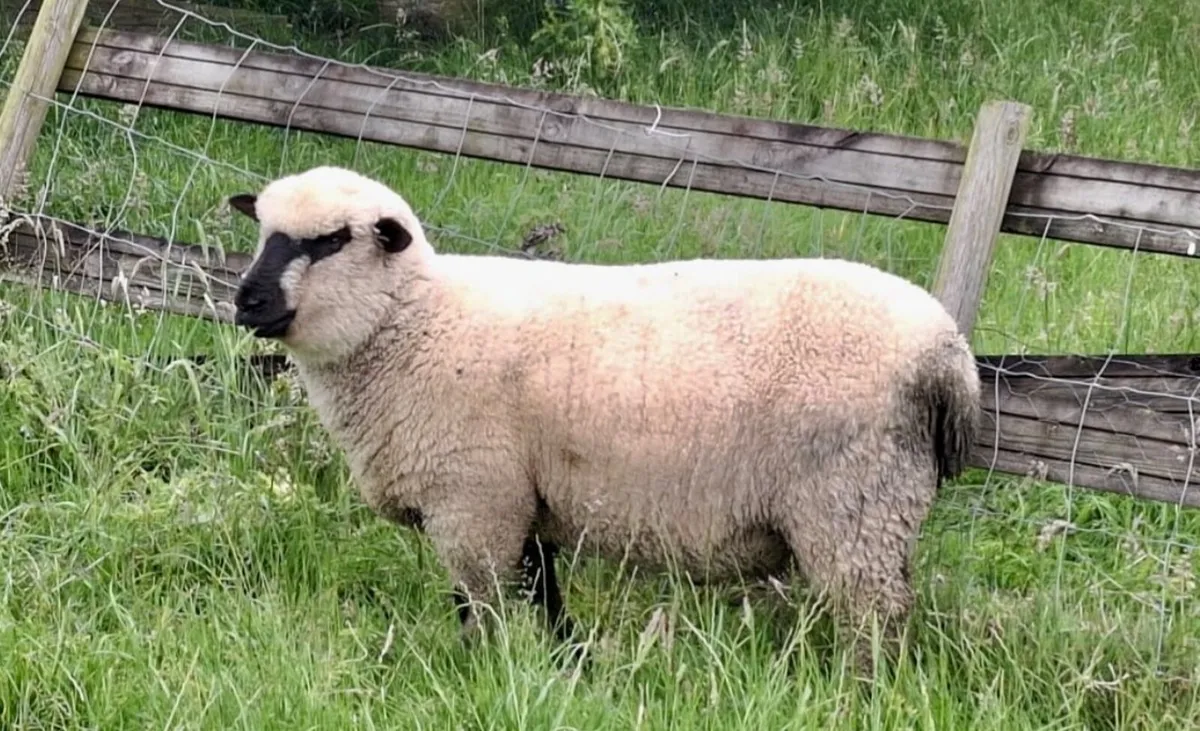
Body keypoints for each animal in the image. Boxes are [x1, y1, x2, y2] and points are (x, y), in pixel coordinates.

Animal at [226, 165, 982, 674]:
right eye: (262, 230)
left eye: (331, 241)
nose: (246, 300)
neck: (411, 321)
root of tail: (950, 354)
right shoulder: (526, 501)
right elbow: (544, 596)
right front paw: (568, 664)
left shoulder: (474, 500)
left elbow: (481, 605)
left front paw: (480, 670)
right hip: (877, 504)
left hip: (852, 502)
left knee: (876, 619)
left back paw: (859, 692)